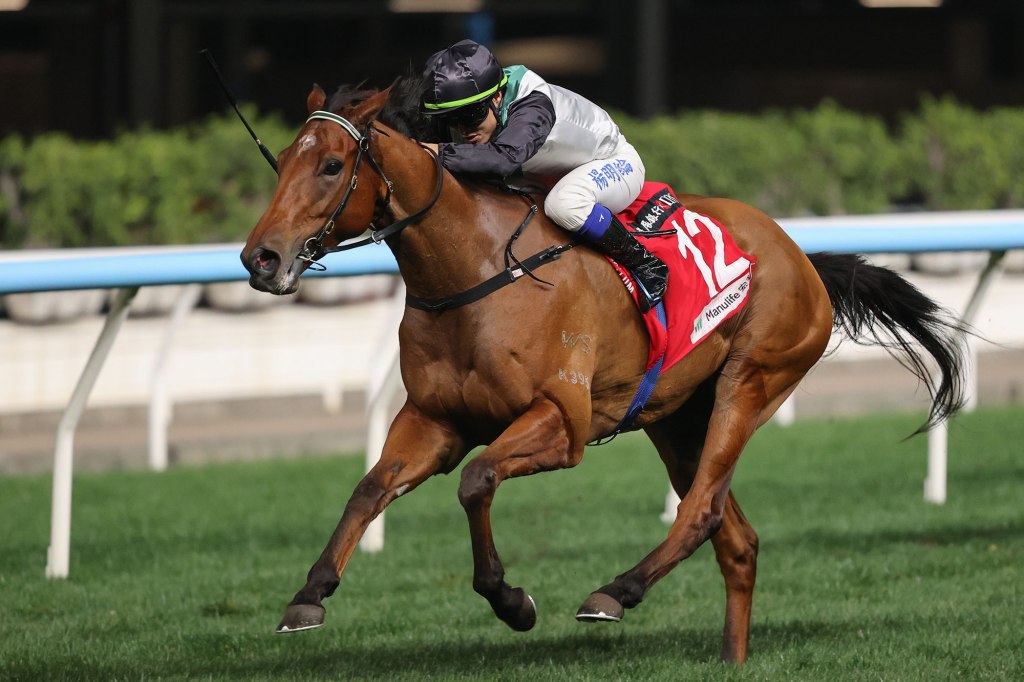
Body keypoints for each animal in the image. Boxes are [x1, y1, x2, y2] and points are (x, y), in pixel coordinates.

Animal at [240, 77, 966, 663]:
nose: (260, 258)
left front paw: (511, 600)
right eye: (282, 161)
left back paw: (617, 591)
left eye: (332, 165)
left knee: (701, 511)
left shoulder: (562, 422)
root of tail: (801, 256)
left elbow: (477, 481)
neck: (474, 271)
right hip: (676, 417)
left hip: (751, 381)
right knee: (736, 538)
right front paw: (309, 595)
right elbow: (369, 488)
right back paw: (729, 656)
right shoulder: (436, 419)